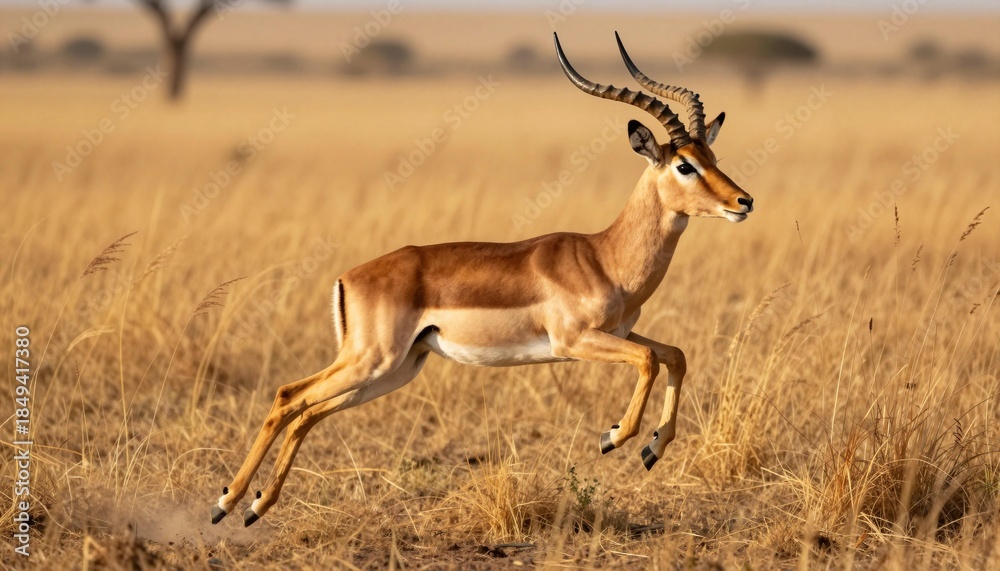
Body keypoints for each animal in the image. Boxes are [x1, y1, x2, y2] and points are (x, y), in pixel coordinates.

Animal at [211, 32, 754, 527]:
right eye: (684, 165)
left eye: (714, 159)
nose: (743, 201)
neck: (605, 256)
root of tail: (348, 277)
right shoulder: (575, 341)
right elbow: (649, 361)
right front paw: (613, 437)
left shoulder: (620, 331)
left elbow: (674, 355)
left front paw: (652, 450)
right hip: (371, 361)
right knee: (289, 398)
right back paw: (227, 503)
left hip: (393, 369)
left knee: (305, 410)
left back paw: (253, 506)